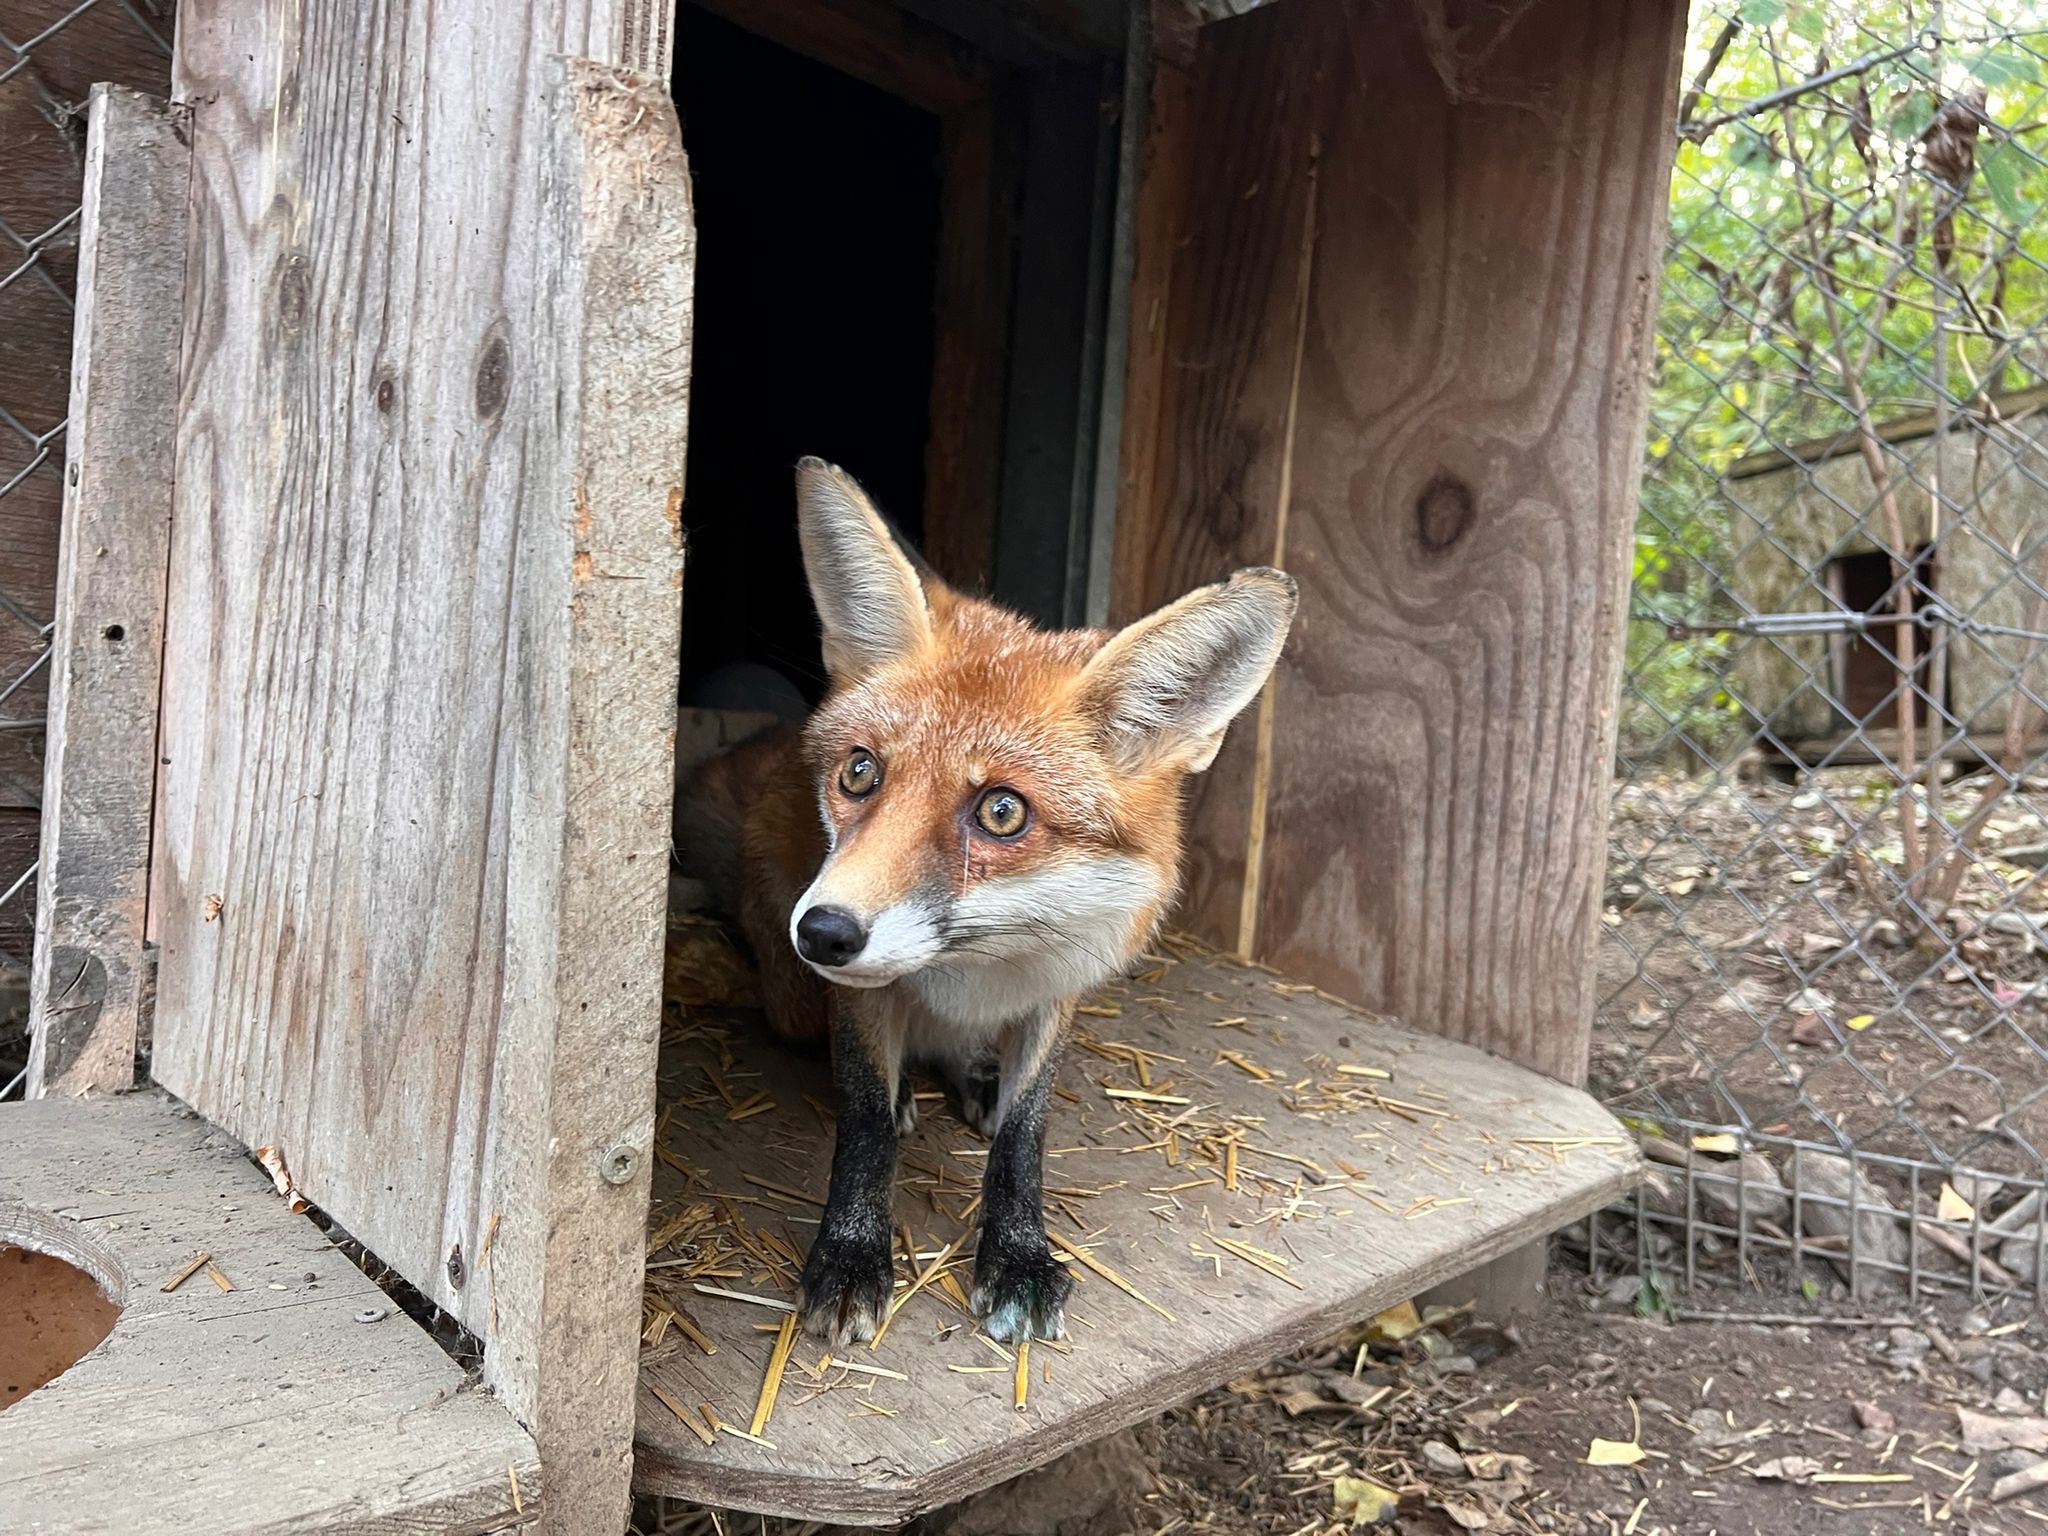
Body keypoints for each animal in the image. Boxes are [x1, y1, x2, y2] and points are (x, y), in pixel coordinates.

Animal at [679, 458, 1297, 1346]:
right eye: (859, 772)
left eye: (1002, 812)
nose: (824, 932)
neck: (982, 959)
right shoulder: (860, 998)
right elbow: (865, 1121)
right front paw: (850, 1256)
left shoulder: (1060, 989)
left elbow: (1023, 1133)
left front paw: (1018, 1255)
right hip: (794, 995)